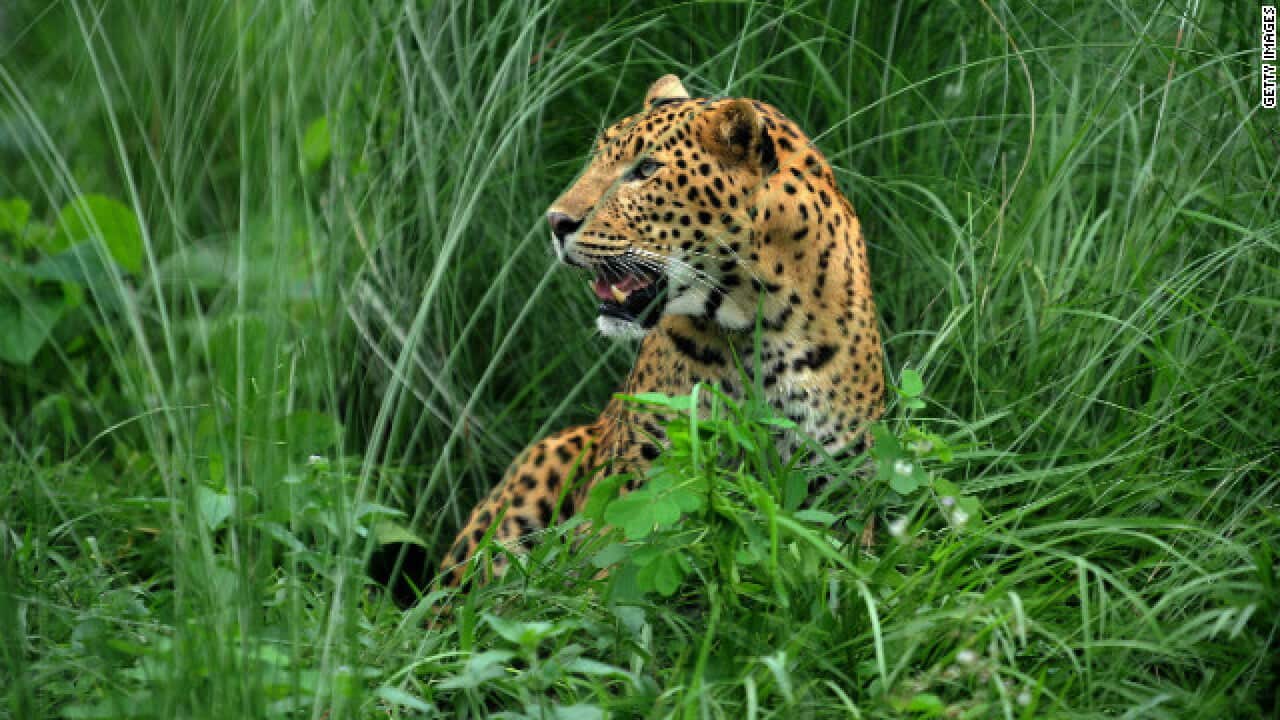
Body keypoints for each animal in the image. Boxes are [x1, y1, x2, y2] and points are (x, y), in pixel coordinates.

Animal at [436, 74, 884, 594]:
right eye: (597, 157)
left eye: (645, 169)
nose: (555, 222)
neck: (758, 326)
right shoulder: (646, 479)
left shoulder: (840, 489)